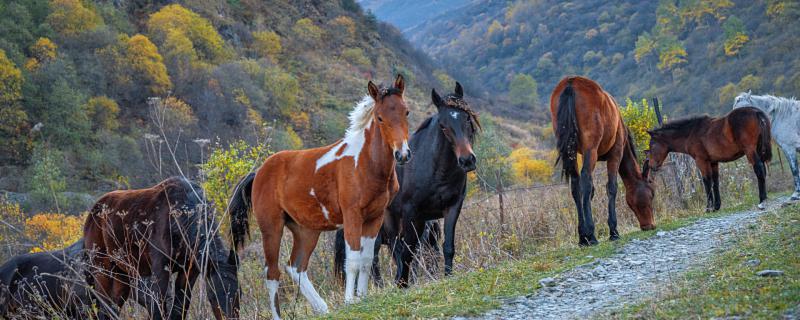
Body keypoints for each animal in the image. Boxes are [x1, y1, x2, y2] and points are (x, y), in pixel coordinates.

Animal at [227, 74, 410, 318]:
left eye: (406, 112)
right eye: (380, 117)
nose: (402, 154)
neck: (365, 164)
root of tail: (259, 173)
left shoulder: (374, 217)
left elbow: (366, 259)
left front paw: (362, 297)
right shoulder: (352, 216)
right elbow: (353, 260)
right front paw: (350, 301)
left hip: (306, 230)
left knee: (295, 266)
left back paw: (322, 308)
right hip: (271, 227)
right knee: (272, 273)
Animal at [332, 82, 478, 288]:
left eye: (467, 118)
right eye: (443, 126)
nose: (467, 160)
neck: (435, 170)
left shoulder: (451, 208)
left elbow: (447, 247)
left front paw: (447, 277)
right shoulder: (411, 213)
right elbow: (407, 253)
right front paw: (403, 284)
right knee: (382, 256)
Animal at [552, 76, 656, 246]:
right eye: (652, 194)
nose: (650, 225)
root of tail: (571, 83)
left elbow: (591, 192)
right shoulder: (616, 153)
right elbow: (611, 187)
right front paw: (613, 231)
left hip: (571, 151)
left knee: (576, 185)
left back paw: (582, 237)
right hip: (591, 149)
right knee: (585, 181)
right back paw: (591, 234)